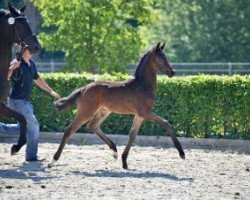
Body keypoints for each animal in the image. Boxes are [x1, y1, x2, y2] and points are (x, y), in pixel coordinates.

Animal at [0, 4, 40, 155]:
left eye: (27, 22)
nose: (36, 47)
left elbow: (22, 119)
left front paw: (16, 146)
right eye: (20, 25)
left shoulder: (1, 105)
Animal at [48, 43, 186, 170]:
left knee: (92, 126)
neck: (142, 85)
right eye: (160, 57)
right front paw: (182, 153)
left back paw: (114, 151)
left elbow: (132, 135)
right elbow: (166, 124)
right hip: (86, 112)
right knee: (70, 129)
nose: (172, 72)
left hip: (103, 111)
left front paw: (124, 162)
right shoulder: (144, 112)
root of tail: (83, 89)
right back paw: (52, 161)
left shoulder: (139, 115)